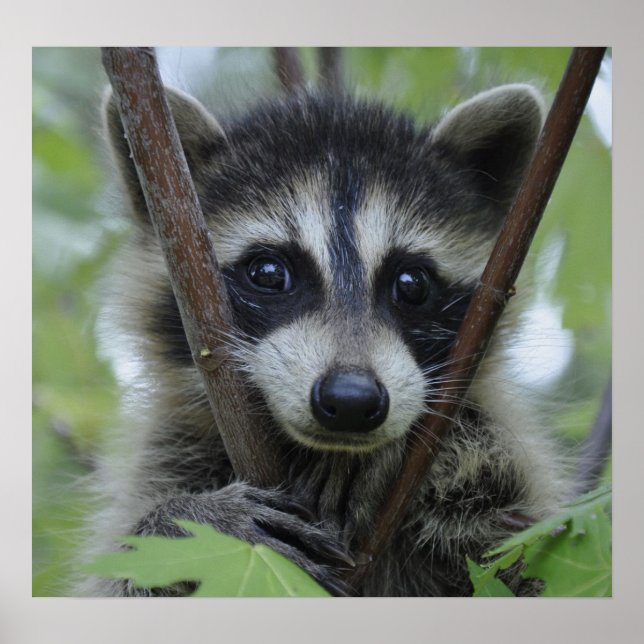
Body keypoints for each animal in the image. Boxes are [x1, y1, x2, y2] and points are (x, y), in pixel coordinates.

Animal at [82, 81, 569, 597]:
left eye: (412, 283)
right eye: (268, 273)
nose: (352, 400)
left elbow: (520, 541)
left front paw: (408, 450)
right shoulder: (170, 446)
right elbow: (132, 568)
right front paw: (187, 521)